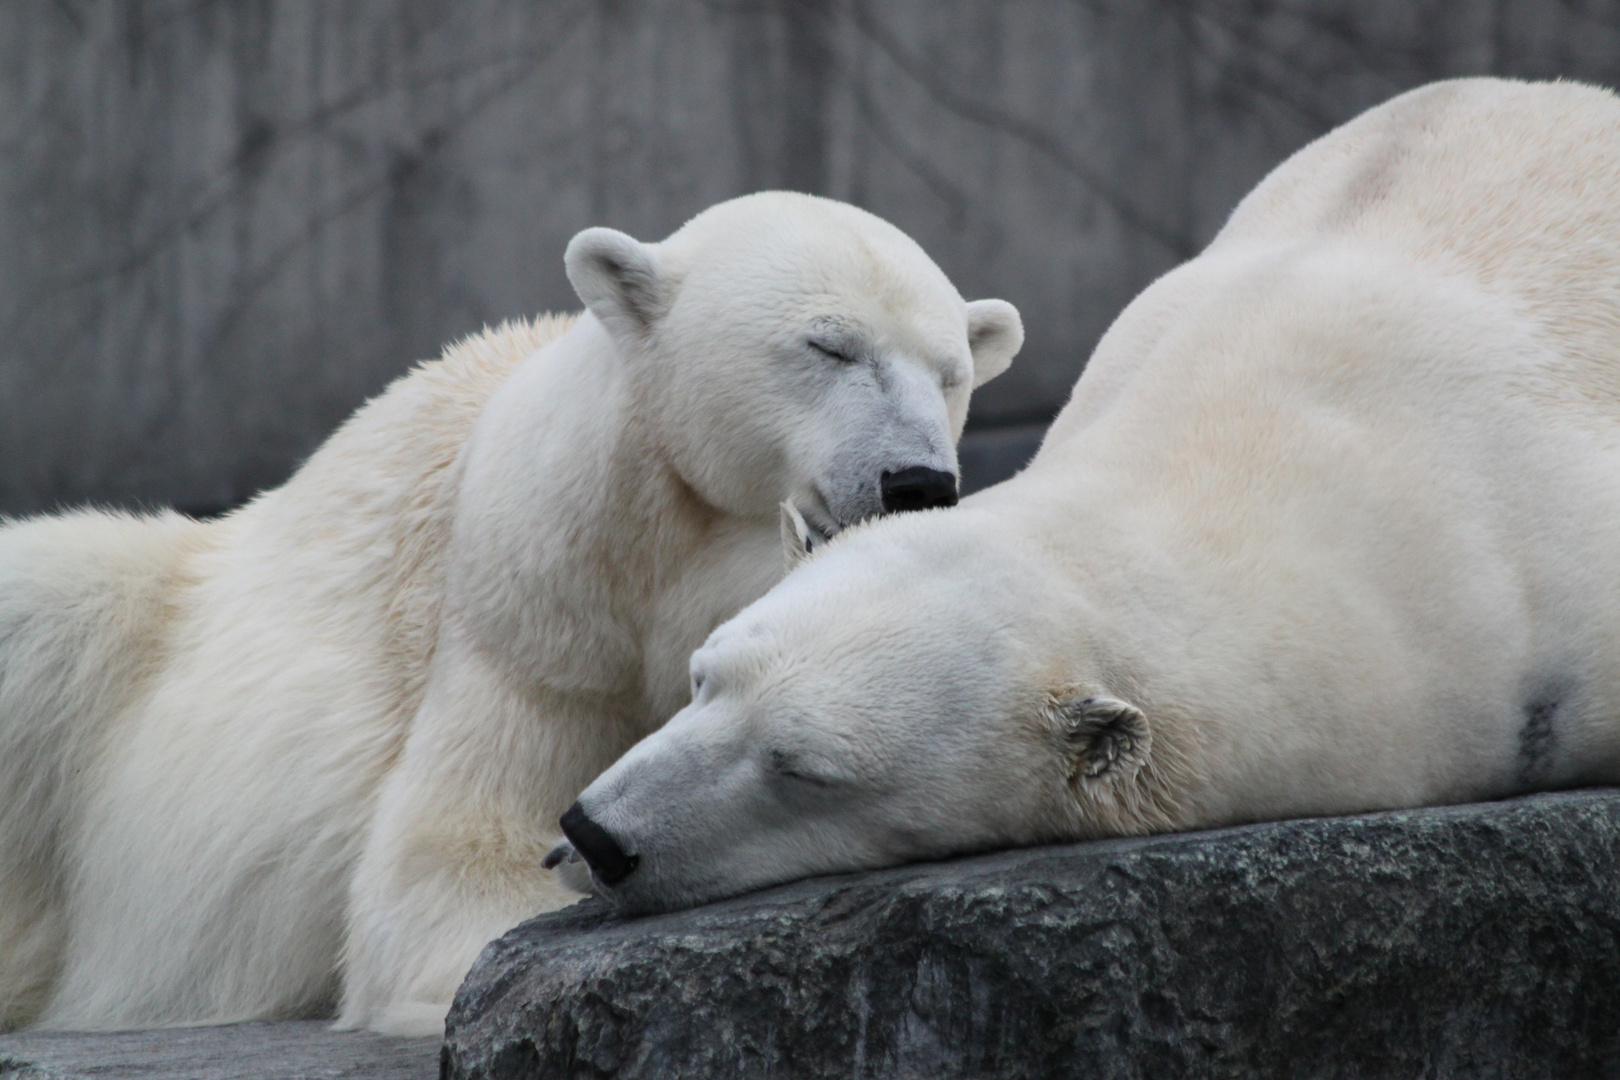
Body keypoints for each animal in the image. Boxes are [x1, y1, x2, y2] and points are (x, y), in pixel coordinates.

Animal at [0, 190, 1023, 1036]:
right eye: (828, 346)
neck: (676, 548)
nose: (917, 481)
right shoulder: (534, 608)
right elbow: (458, 861)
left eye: (951, 373)